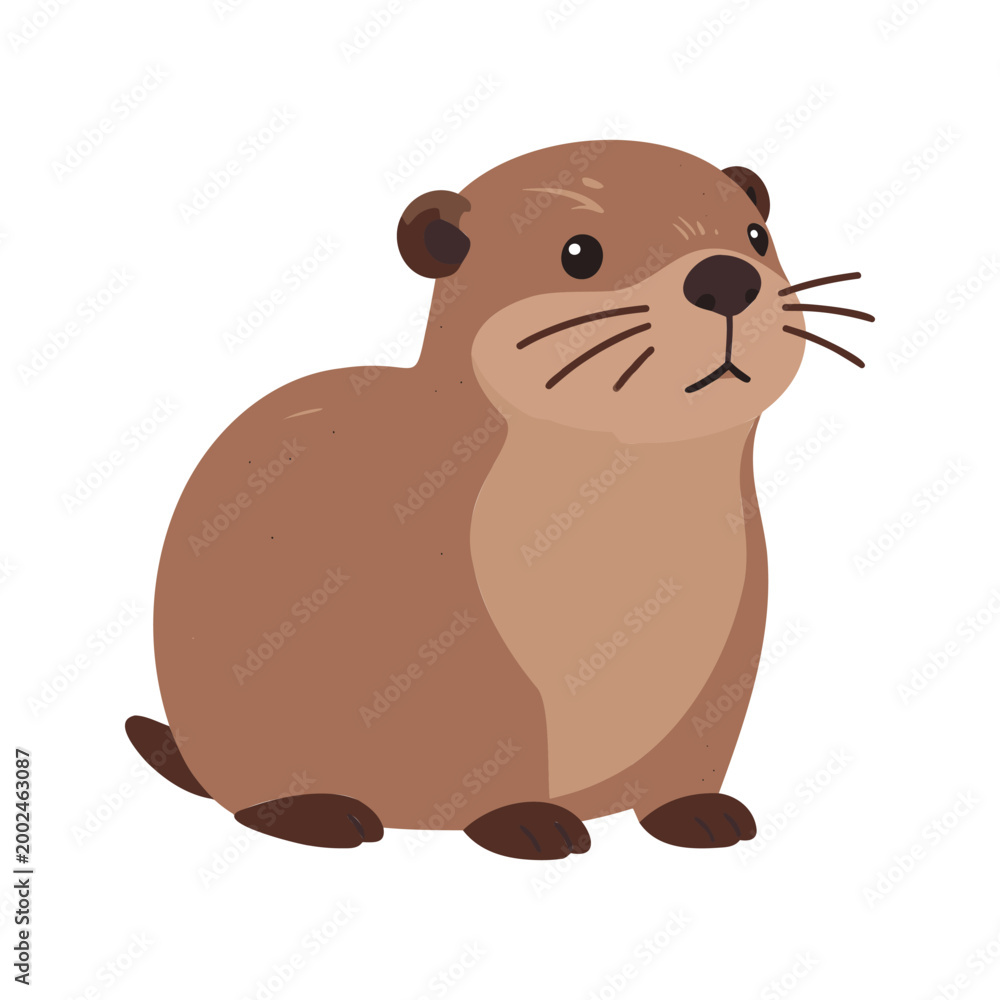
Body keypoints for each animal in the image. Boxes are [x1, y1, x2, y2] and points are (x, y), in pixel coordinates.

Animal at [126, 140, 871, 859]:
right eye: (579, 253)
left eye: (756, 235)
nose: (724, 278)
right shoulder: (458, 619)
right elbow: (493, 728)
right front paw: (526, 823)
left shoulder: (737, 630)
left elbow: (704, 738)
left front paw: (701, 813)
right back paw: (324, 813)